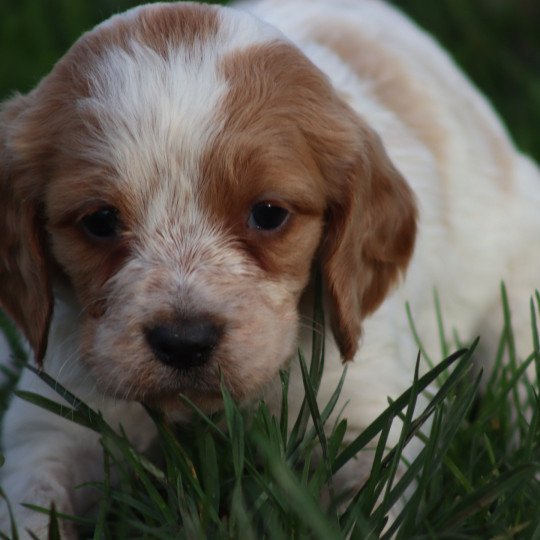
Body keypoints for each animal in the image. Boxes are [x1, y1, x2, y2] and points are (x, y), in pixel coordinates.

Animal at [0, 0, 536, 536]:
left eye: (268, 214)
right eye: (100, 221)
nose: (184, 342)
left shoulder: (368, 404)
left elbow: (371, 501)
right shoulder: (53, 416)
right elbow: (31, 499)